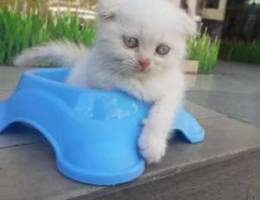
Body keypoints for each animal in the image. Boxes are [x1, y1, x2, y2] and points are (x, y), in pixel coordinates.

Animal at [14, 0, 195, 163]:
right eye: (130, 42)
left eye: (162, 50)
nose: (144, 62)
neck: (143, 79)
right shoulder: (96, 73)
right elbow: (123, 83)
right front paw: (139, 93)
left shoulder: (175, 85)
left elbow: (164, 110)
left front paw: (153, 145)